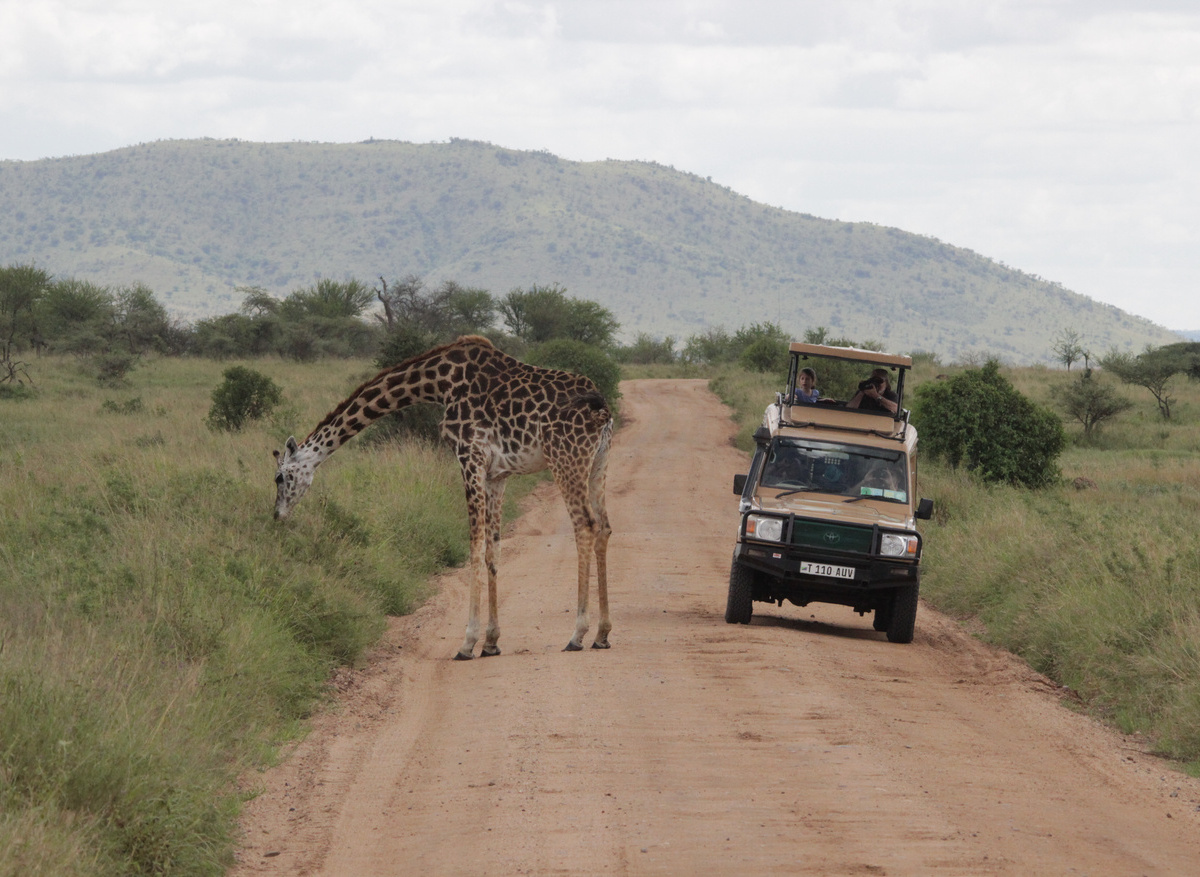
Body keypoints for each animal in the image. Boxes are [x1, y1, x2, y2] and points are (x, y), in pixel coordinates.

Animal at [272, 335, 614, 660]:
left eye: (280, 477)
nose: (277, 514)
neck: (438, 383)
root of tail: (602, 410)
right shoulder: (497, 475)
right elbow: (493, 551)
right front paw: (491, 642)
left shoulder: (469, 456)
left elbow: (474, 547)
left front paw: (468, 643)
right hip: (598, 463)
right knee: (605, 527)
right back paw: (602, 634)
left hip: (566, 459)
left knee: (585, 524)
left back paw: (577, 635)